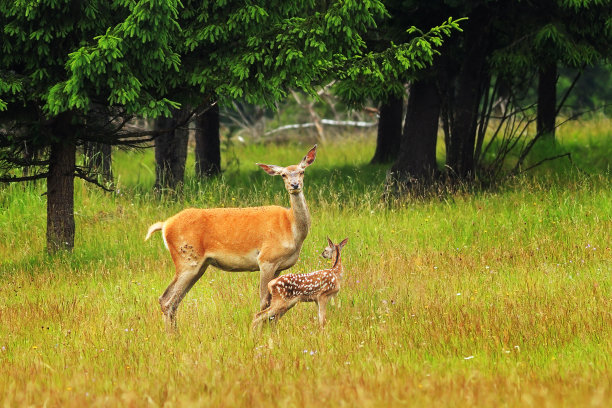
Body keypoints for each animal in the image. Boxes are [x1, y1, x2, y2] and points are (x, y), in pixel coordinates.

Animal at [146, 144, 318, 328]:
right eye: (283, 174)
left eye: (302, 171)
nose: (294, 185)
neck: (291, 228)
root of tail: (165, 225)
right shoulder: (266, 259)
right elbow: (264, 302)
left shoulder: (279, 266)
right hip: (187, 258)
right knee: (167, 299)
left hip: (199, 265)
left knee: (173, 300)